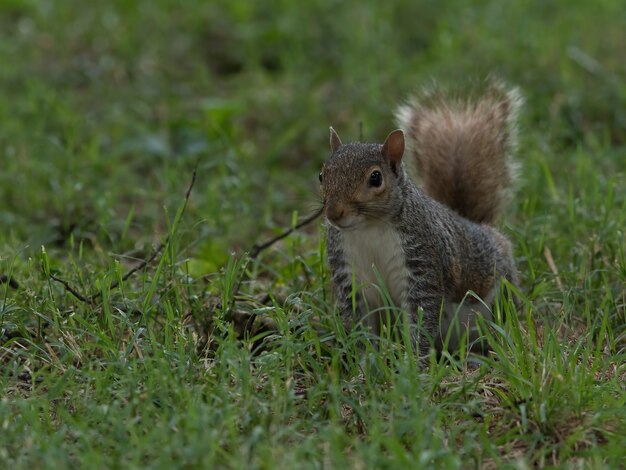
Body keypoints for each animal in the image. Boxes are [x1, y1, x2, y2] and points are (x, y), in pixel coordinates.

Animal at [320, 81, 520, 356]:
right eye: (322, 175)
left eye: (375, 178)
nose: (333, 213)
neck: (369, 229)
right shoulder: (349, 272)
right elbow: (359, 321)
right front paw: (362, 357)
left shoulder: (422, 262)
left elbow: (422, 315)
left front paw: (415, 360)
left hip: (498, 296)